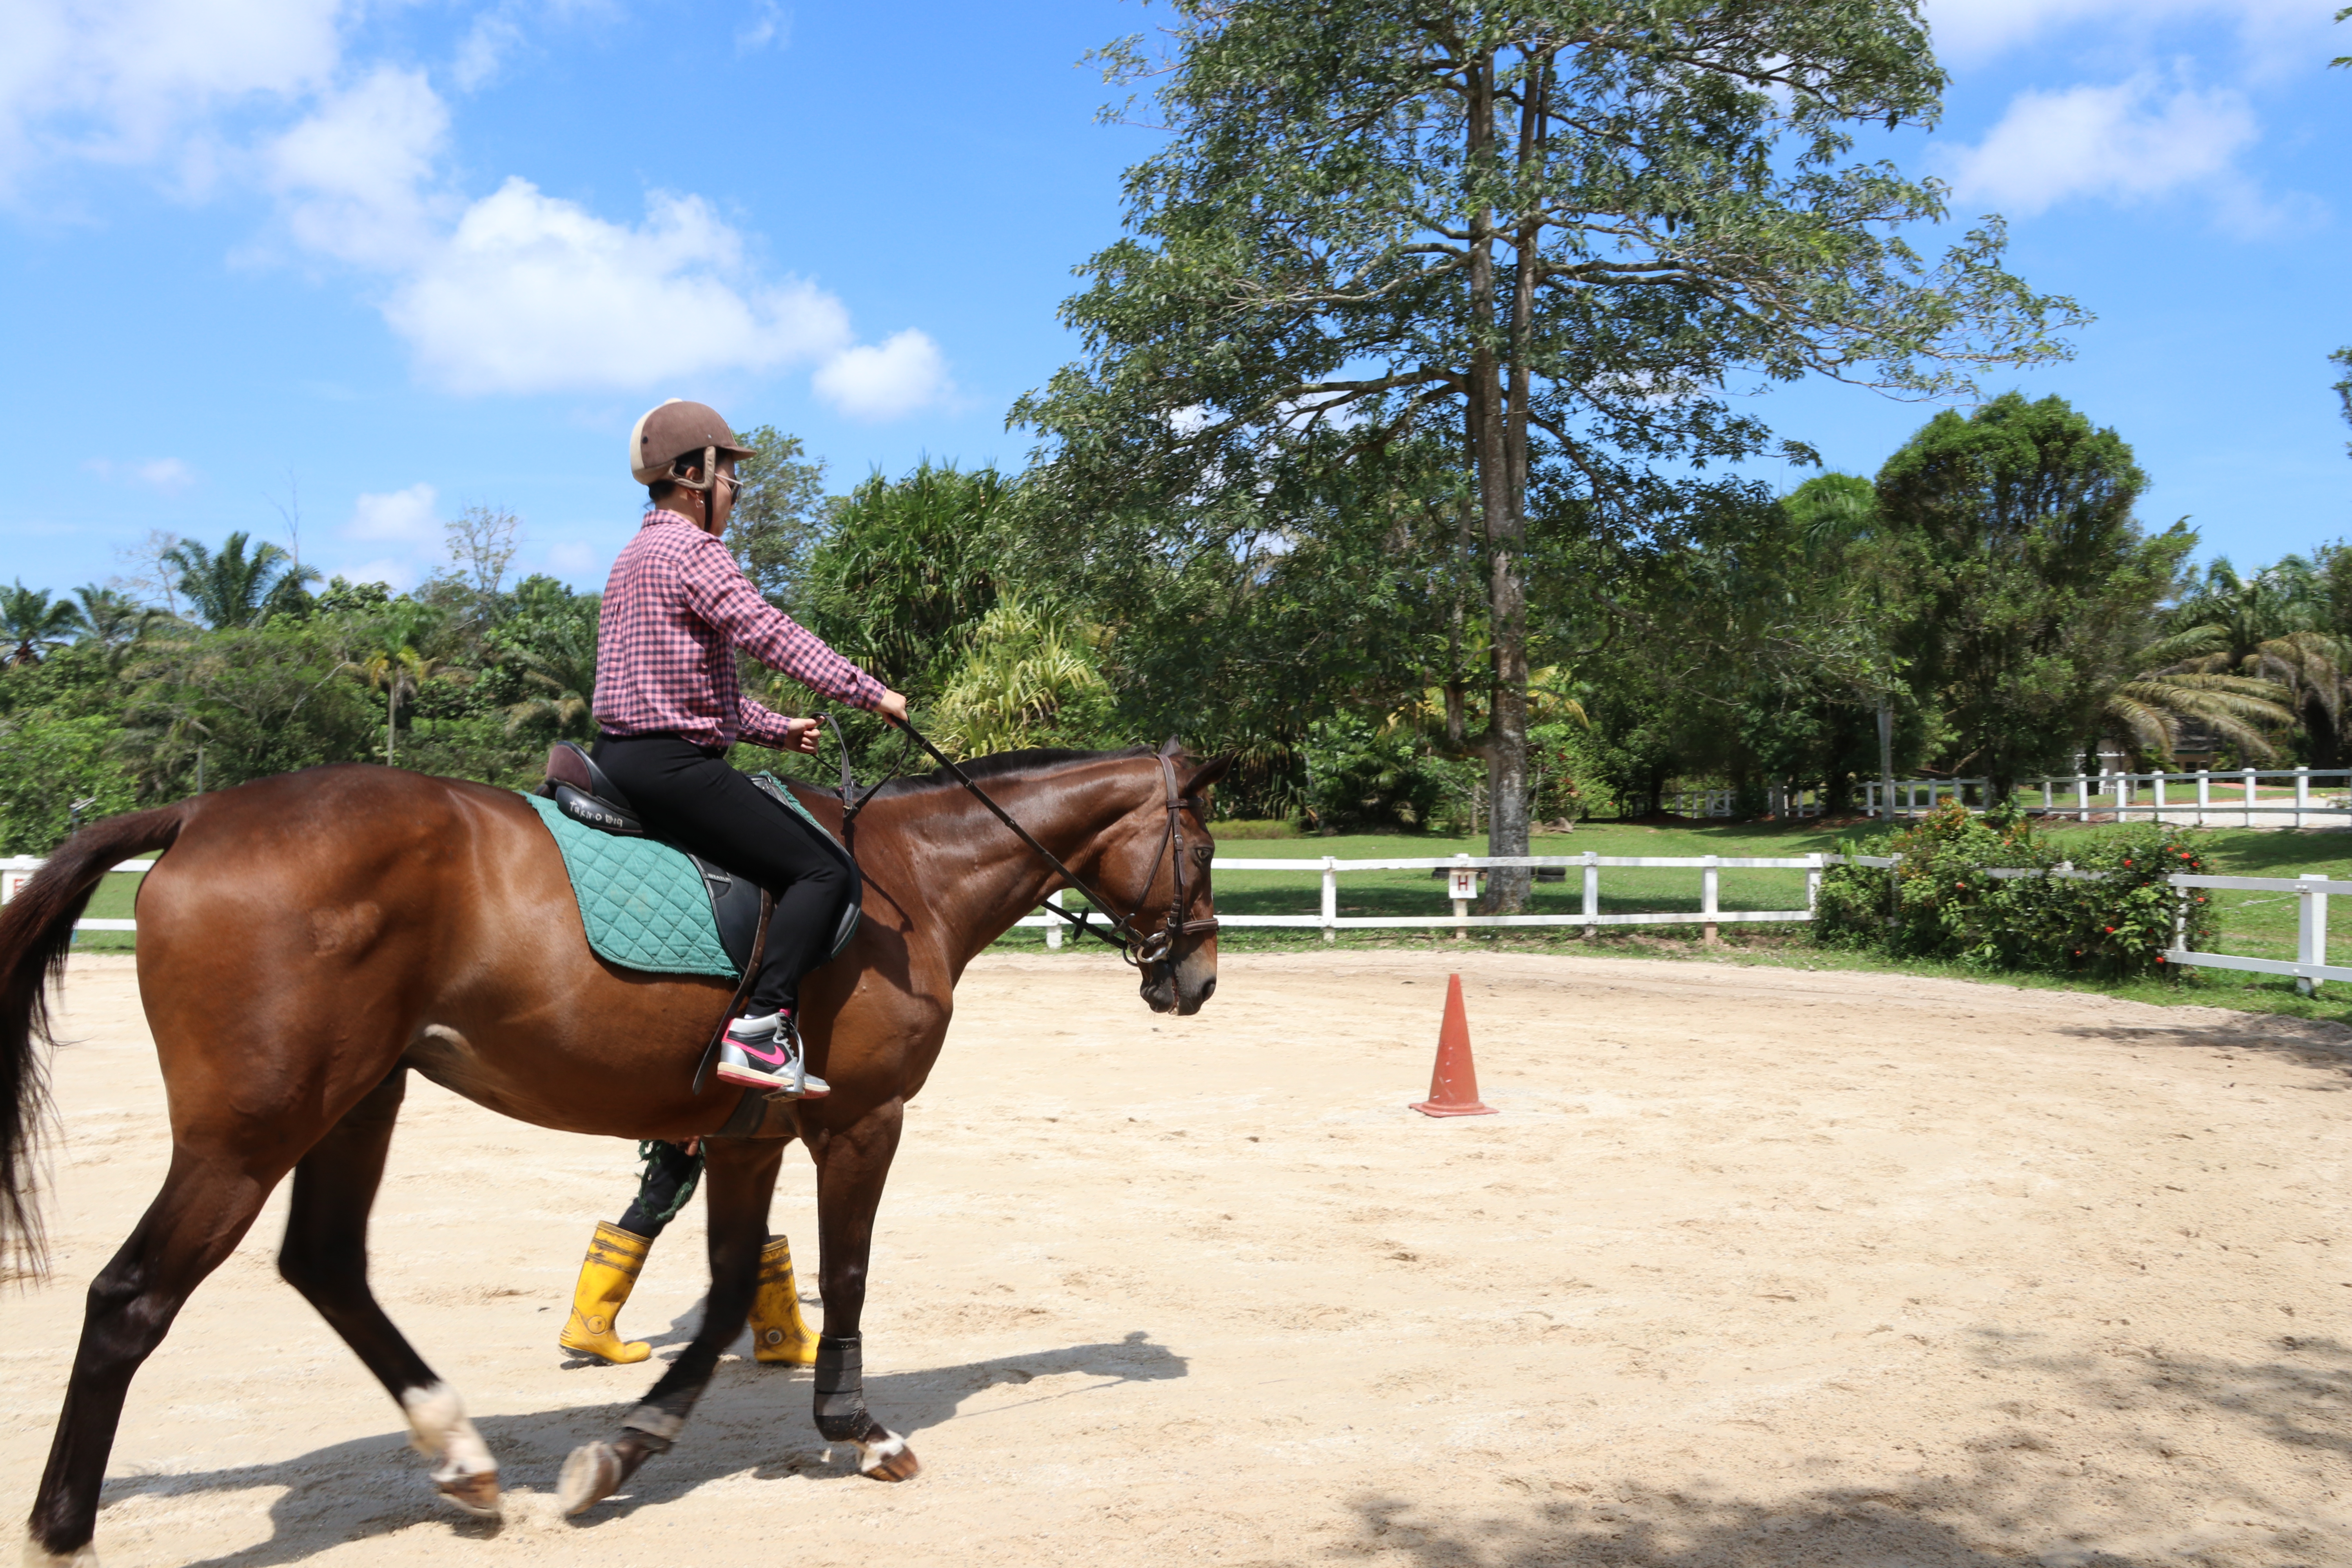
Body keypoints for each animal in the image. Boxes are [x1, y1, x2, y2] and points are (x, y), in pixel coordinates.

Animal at [0, 743, 1227, 1563]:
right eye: (1206, 848)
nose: (1197, 979)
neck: (908, 874)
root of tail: (202, 811)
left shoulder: (744, 1137)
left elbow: (732, 1290)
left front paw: (620, 1454)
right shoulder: (861, 1122)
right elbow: (844, 1273)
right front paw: (862, 1433)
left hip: (355, 1101)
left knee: (326, 1265)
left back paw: (465, 1458)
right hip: (251, 1133)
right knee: (131, 1298)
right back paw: (64, 1532)